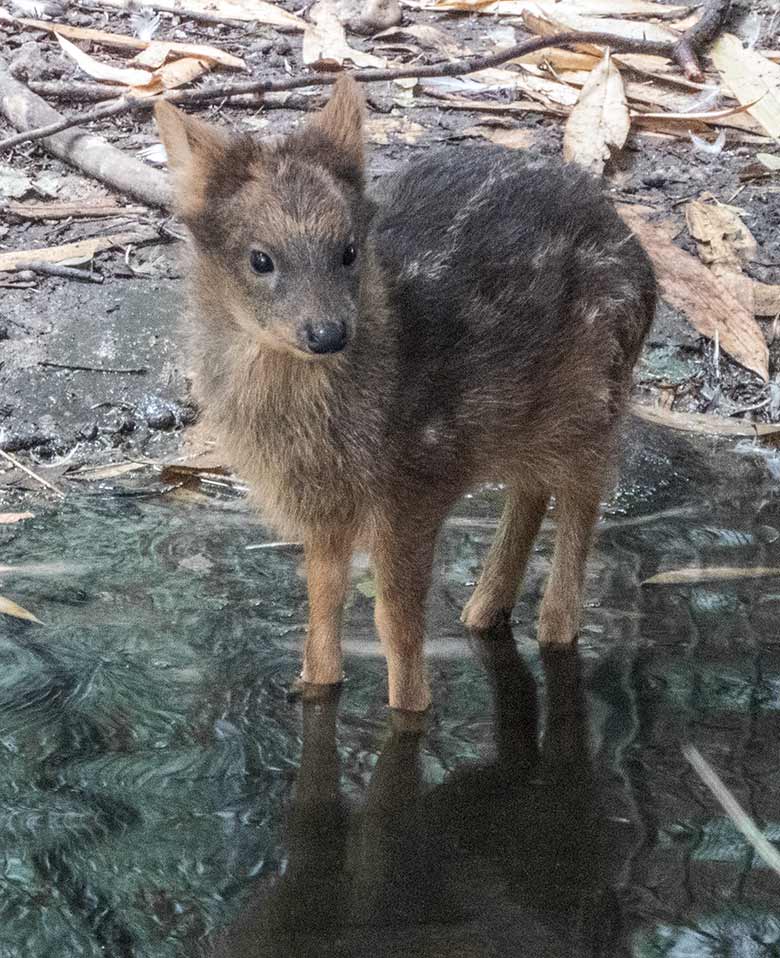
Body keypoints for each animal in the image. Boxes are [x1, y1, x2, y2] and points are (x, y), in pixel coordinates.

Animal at [155, 79, 656, 712]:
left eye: (348, 250)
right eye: (259, 258)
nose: (328, 333)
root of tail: (645, 267)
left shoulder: (416, 480)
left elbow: (396, 616)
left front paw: (411, 710)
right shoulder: (325, 507)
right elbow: (324, 597)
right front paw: (314, 684)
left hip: (598, 394)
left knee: (581, 500)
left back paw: (552, 627)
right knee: (532, 487)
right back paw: (481, 612)